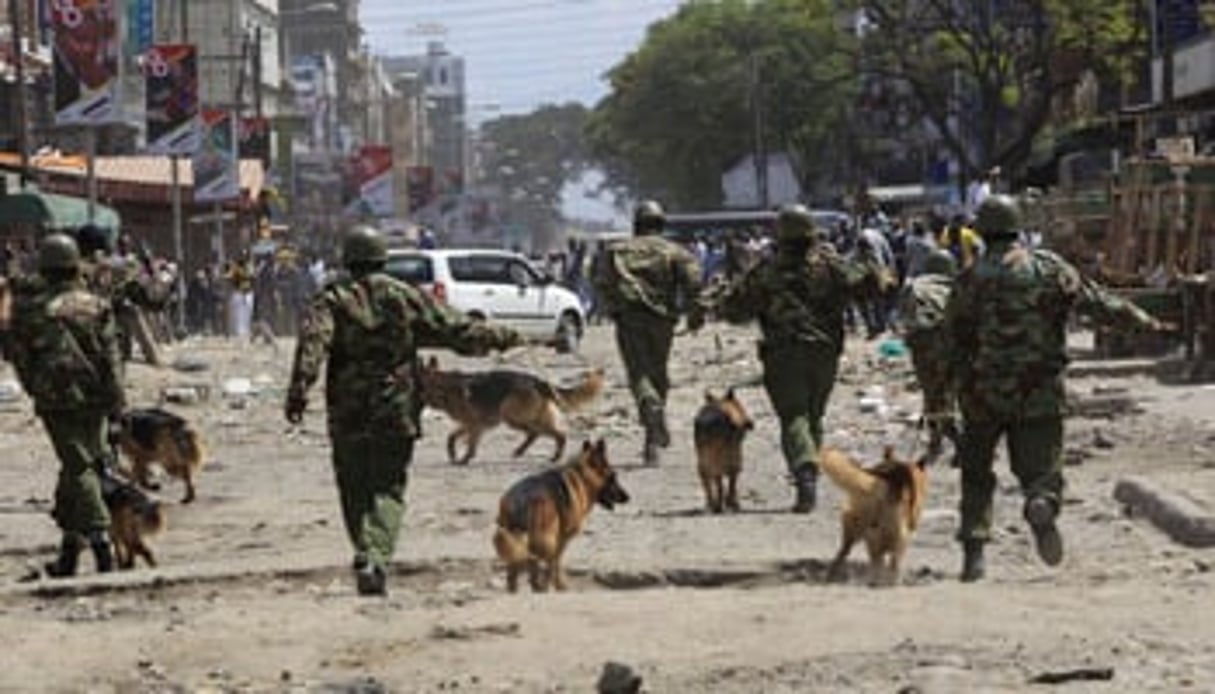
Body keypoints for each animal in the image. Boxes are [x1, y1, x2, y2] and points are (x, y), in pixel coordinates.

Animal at [420, 357, 605, 466]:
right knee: (539, 433)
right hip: (527, 418)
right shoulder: (470, 424)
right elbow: (451, 437)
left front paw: (465, 459)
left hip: (511, 416)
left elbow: (470, 444)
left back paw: (554, 457)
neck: (443, 387)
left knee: (551, 434)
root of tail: (538, 381)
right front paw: (453, 454)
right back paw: (522, 451)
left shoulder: (474, 425)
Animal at [490, 439, 626, 593]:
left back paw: (522, 589)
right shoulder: (562, 539)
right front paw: (559, 585)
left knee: (517, 568)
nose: (628, 498)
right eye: (613, 476)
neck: (581, 478)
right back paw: (542, 587)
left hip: (516, 538)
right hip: (546, 540)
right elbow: (556, 562)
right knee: (540, 562)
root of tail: (520, 499)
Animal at [816, 444, 928, 585]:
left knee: (845, 553)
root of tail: (879, 483)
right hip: (896, 535)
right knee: (891, 562)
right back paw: (891, 582)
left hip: (857, 528)